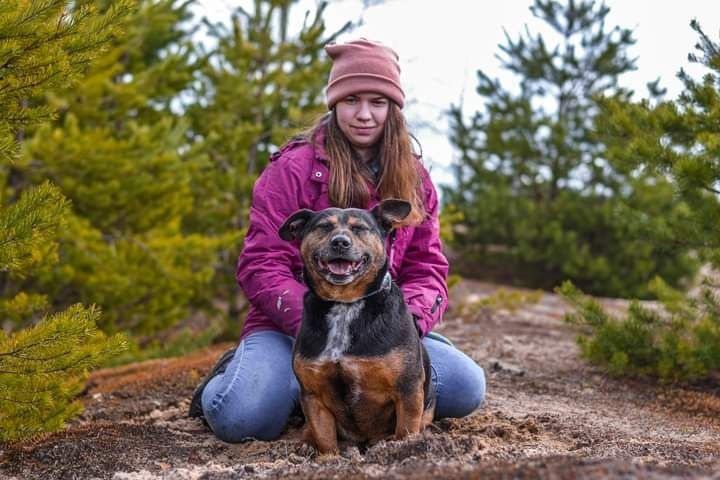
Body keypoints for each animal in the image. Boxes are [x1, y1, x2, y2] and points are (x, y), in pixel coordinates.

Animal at [278, 199, 436, 454]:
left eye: (360, 228)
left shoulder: (408, 389)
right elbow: (325, 440)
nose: (340, 242)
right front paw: (327, 458)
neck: (345, 304)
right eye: (323, 226)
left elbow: (406, 430)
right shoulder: (313, 395)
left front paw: (404, 450)